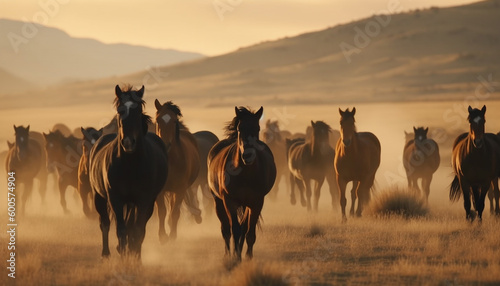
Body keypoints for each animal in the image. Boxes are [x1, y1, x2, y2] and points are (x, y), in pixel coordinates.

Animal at [90, 85, 168, 260]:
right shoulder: (116, 199)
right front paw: (123, 256)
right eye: (120, 110)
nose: (128, 142)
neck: (130, 164)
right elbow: (121, 229)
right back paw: (107, 253)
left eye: (138, 110)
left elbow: (138, 230)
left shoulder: (144, 200)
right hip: (99, 197)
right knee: (105, 223)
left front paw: (136, 258)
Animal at [154, 99, 201, 242]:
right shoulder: (160, 190)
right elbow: (162, 211)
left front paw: (172, 235)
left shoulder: (180, 190)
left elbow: (175, 212)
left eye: (174, 121)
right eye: (158, 120)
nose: (165, 144)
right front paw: (162, 236)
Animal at [208, 106, 278, 260]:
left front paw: (248, 256)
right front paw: (235, 257)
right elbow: (234, 229)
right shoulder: (229, 201)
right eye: (240, 129)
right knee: (226, 229)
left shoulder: (257, 202)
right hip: (218, 201)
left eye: (258, 128)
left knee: (243, 226)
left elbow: (249, 231)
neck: (245, 174)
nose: (247, 155)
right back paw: (228, 253)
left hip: (247, 205)